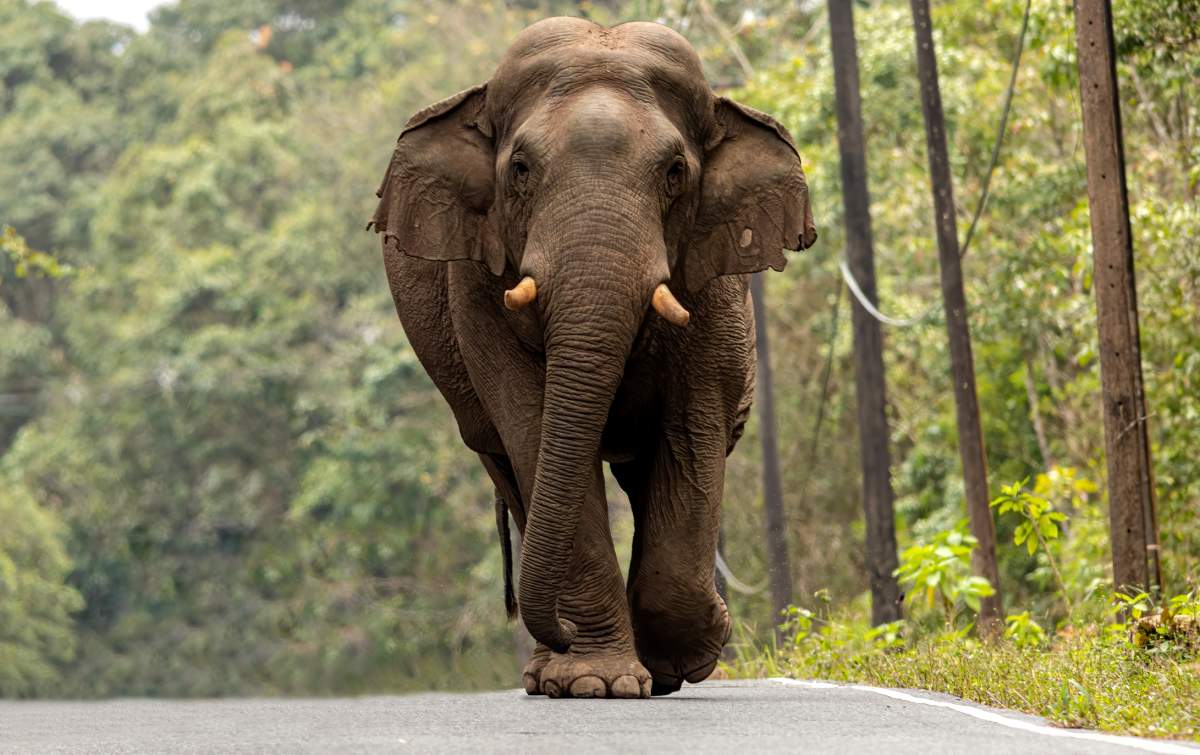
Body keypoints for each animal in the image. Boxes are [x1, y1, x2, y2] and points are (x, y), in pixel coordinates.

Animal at [369, 17, 816, 699]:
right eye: (520, 168)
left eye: (675, 172)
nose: (562, 632)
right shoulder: (476, 285)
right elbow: (531, 423)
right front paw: (594, 683)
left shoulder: (712, 282)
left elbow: (692, 429)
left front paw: (684, 659)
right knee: (513, 468)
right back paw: (551, 672)